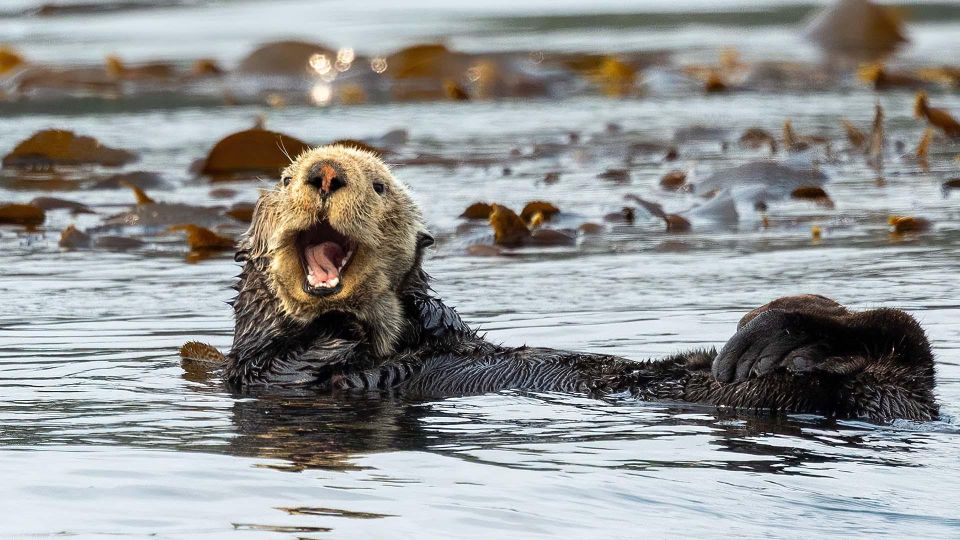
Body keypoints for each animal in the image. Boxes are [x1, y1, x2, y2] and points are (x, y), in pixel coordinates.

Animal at [210, 146, 936, 424]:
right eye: (285, 178)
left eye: (380, 185)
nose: (326, 172)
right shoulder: (260, 372)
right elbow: (283, 359)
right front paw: (342, 323)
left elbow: (436, 317)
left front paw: (408, 301)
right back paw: (772, 347)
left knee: (900, 335)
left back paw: (768, 336)